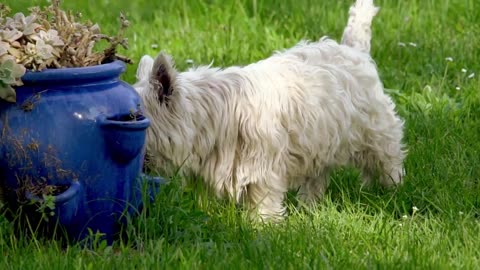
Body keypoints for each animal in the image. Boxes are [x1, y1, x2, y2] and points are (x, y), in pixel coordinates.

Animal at [134, 0, 404, 220]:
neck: (209, 115)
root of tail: (353, 49)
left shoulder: (262, 169)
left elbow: (263, 204)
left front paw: (263, 230)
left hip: (375, 130)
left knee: (389, 158)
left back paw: (393, 190)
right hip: (321, 140)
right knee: (317, 177)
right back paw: (309, 206)